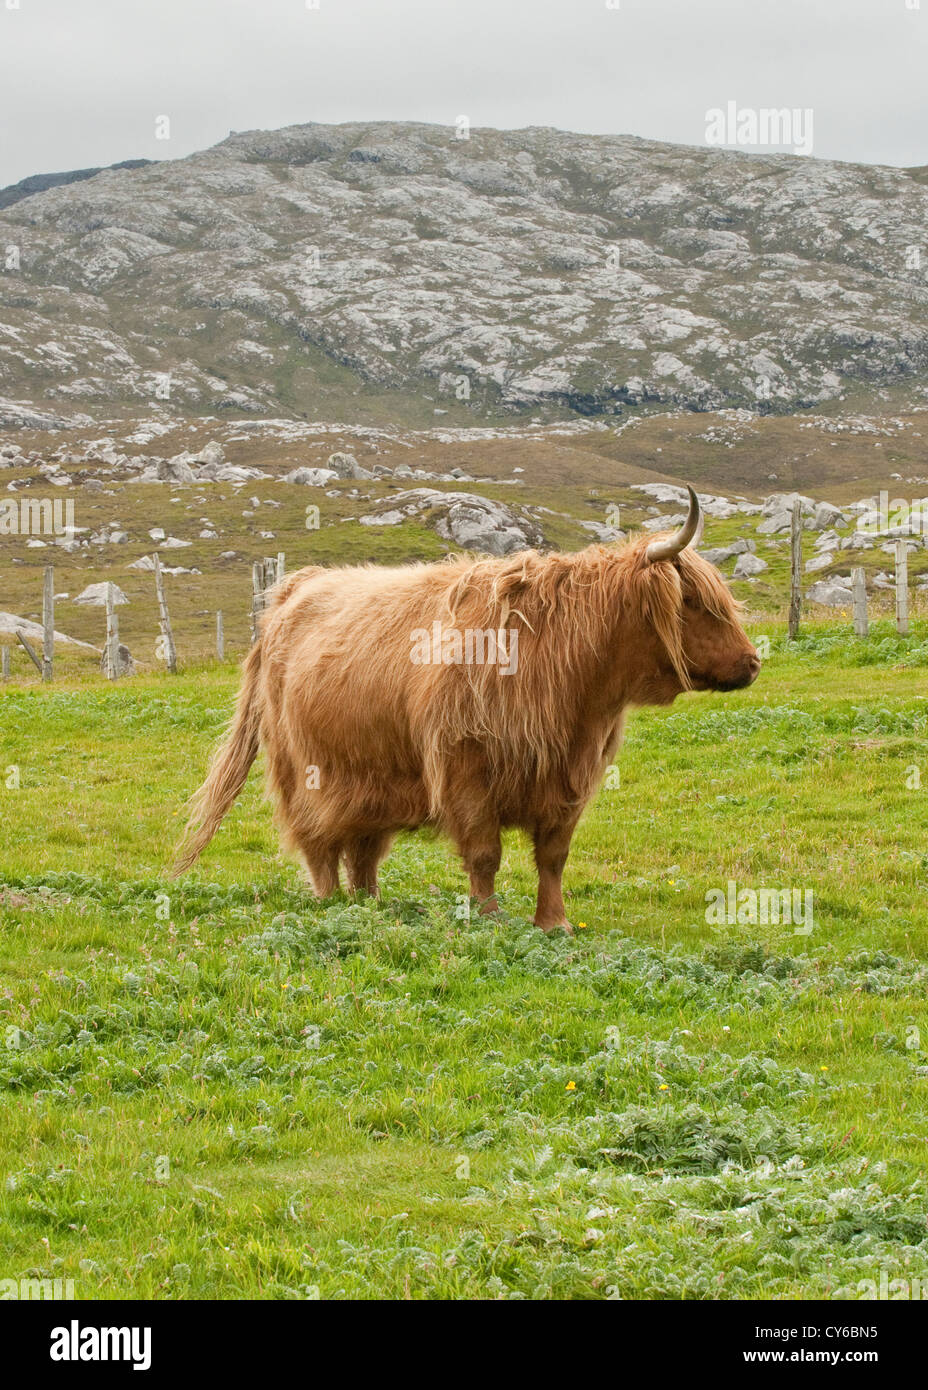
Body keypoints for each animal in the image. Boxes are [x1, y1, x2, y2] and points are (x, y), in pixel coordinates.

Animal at [173, 487, 760, 931]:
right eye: (692, 602)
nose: (753, 662)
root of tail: (295, 587)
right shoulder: (465, 769)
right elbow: (484, 853)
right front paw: (490, 918)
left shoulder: (571, 778)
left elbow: (553, 857)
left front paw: (555, 924)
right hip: (306, 773)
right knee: (318, 845)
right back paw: (333, 905)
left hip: (373, 781)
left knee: (363, 850)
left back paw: (370, 906)